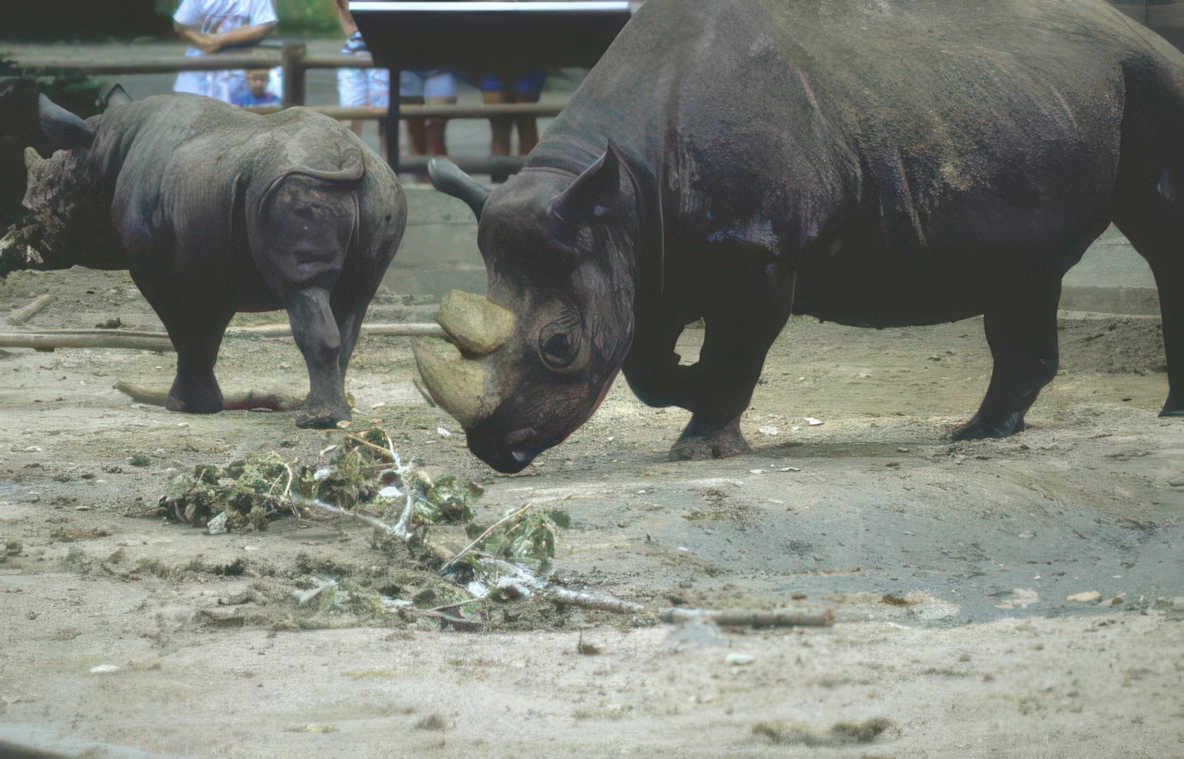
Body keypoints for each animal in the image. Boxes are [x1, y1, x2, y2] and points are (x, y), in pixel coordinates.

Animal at [20, 92, 405, 427]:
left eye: (42, 201)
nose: (28, 245)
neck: (104, 149)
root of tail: (350, 155)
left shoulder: (160, 270)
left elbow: (185, 332)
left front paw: (184, 406)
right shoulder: (213, 265)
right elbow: (208, 333)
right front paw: (203, 405)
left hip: (297, 188)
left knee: (304, 289)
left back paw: (316, 421)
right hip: (380, 189)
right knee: (355, 298)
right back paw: (334, 414)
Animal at [417, 0, 1184, 473]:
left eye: (558, 346)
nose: (493, 452)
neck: (616, 184)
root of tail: (1138, 30)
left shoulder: (757, 249)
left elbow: (732, 350)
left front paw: (701, 444)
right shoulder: (643, 250)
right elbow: (644, 363)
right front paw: (689, 390)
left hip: (1154, 80)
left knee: (1159, 237)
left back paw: (1166, 416)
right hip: (1019, 103)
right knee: (1025, 270)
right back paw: (978, 434)